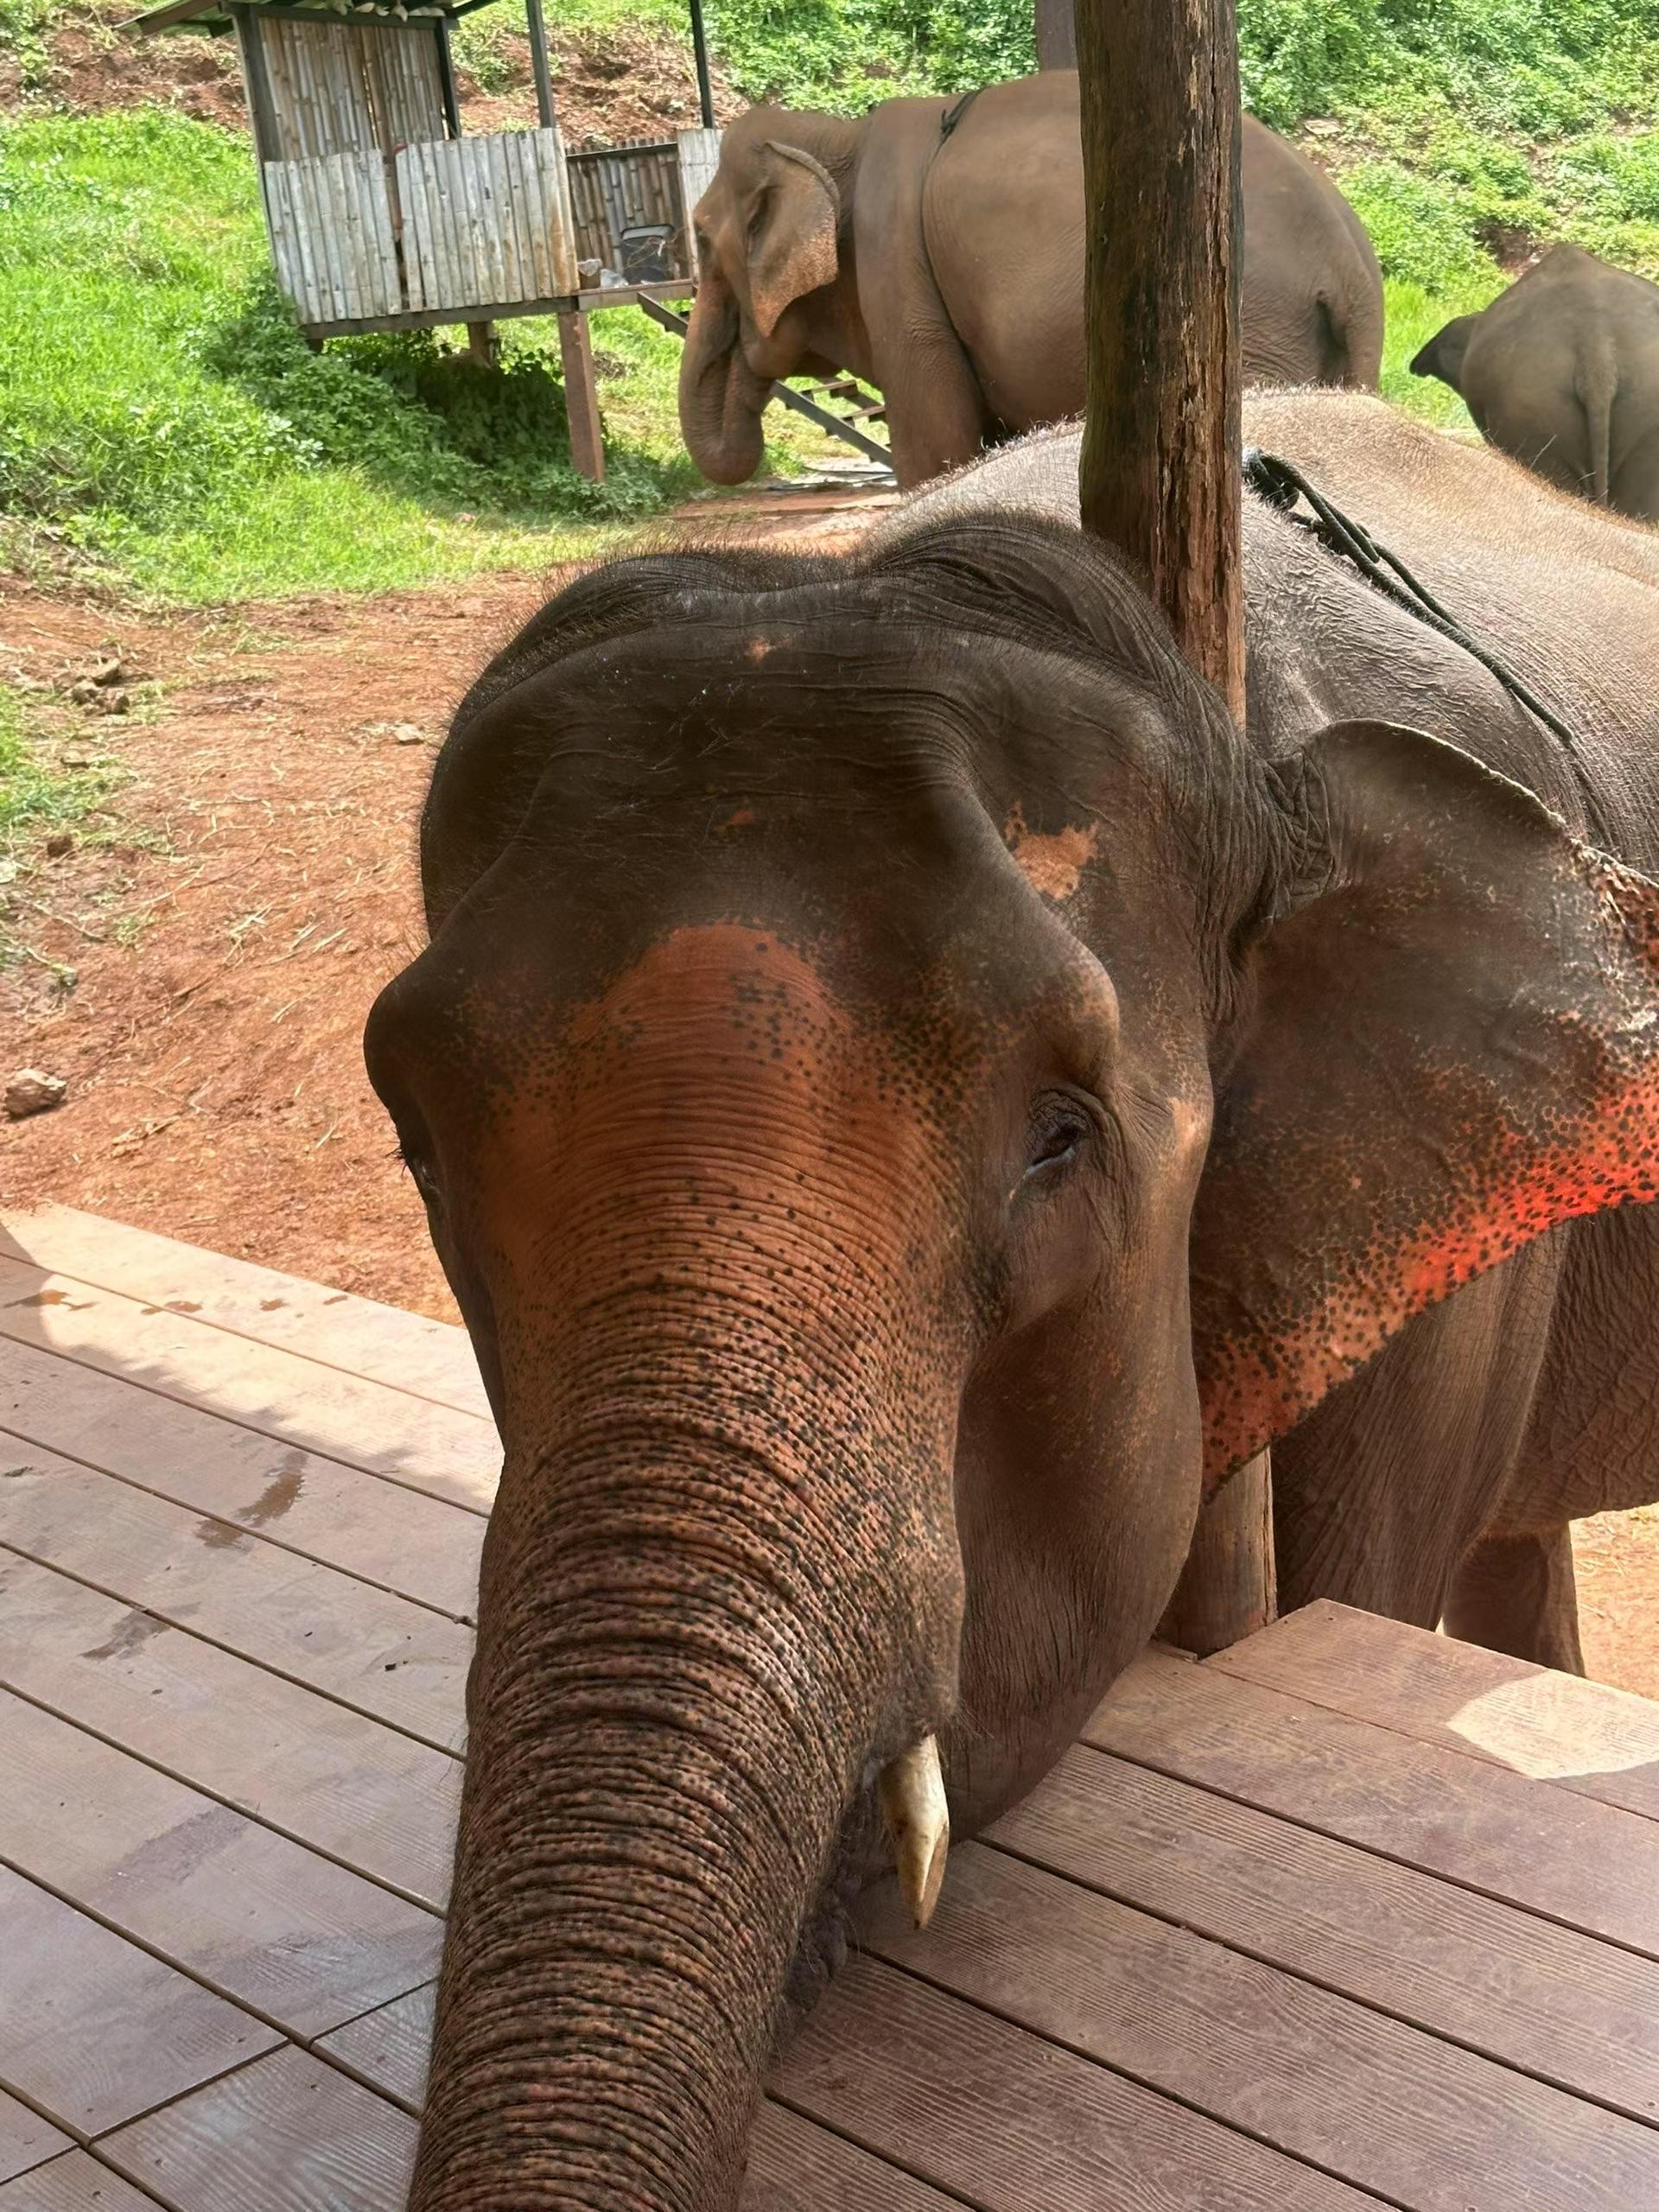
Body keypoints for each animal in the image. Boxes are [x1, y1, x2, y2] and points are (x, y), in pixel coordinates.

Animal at [679, 74, 1385, 490]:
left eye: (702, 240)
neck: (835, 136)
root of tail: (1350, 272)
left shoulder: (897, 276)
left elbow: (937, 452)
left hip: (1250, 340)